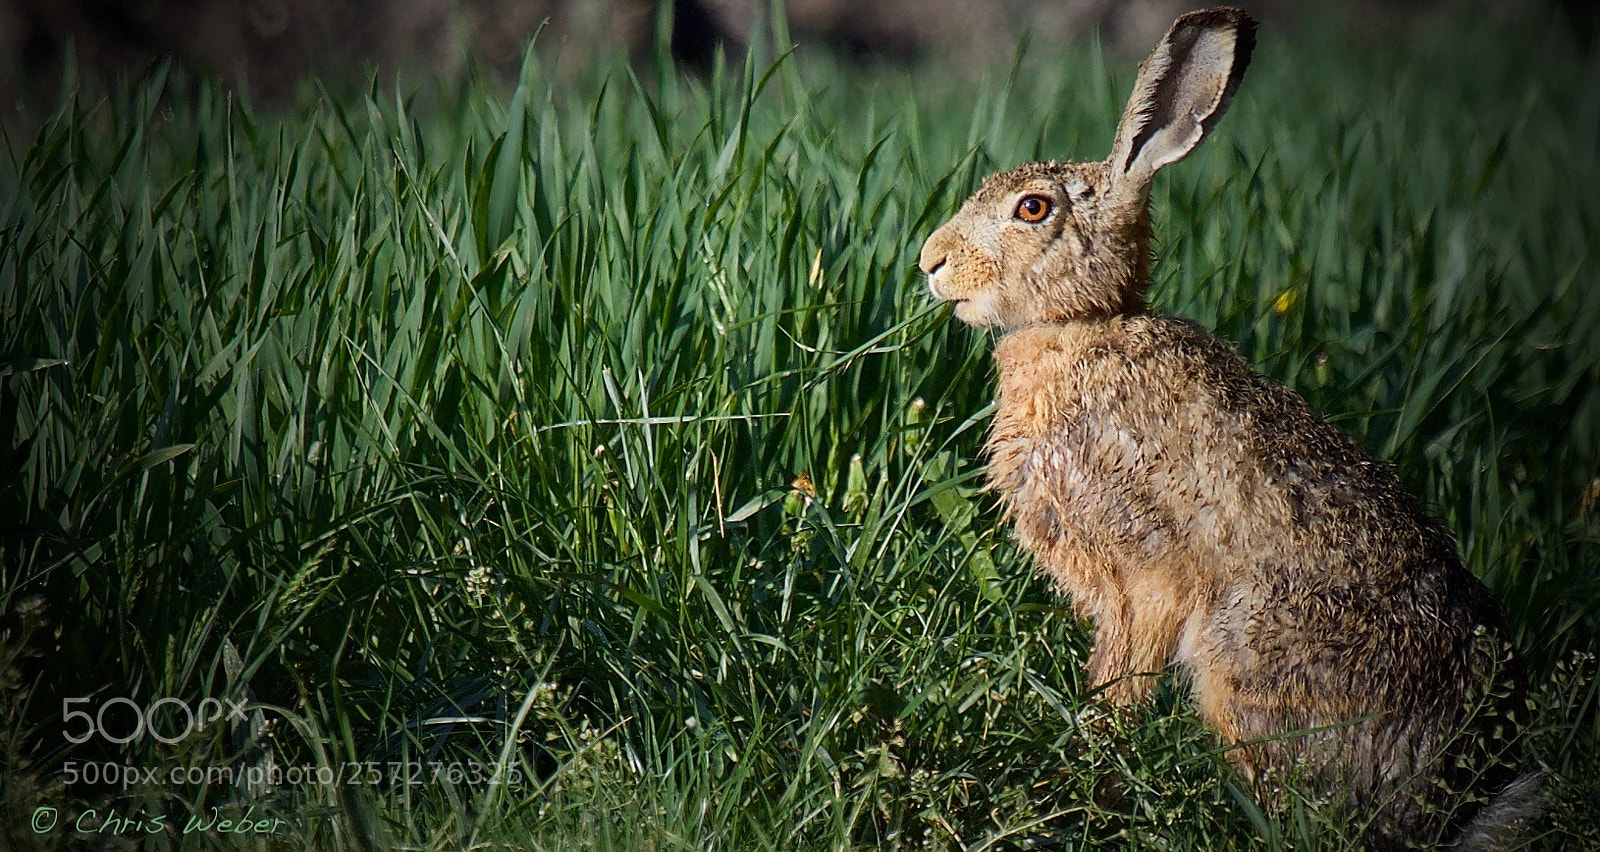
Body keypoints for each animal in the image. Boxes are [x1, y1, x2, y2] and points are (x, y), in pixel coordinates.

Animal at [917, 7, 1538, 849]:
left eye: (1033, 209)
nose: (930, 262)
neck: (1084, 327)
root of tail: (1447, 794)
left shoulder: (1144, 576)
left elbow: (1123, 677)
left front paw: (1094, 752)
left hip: (1244, 652)